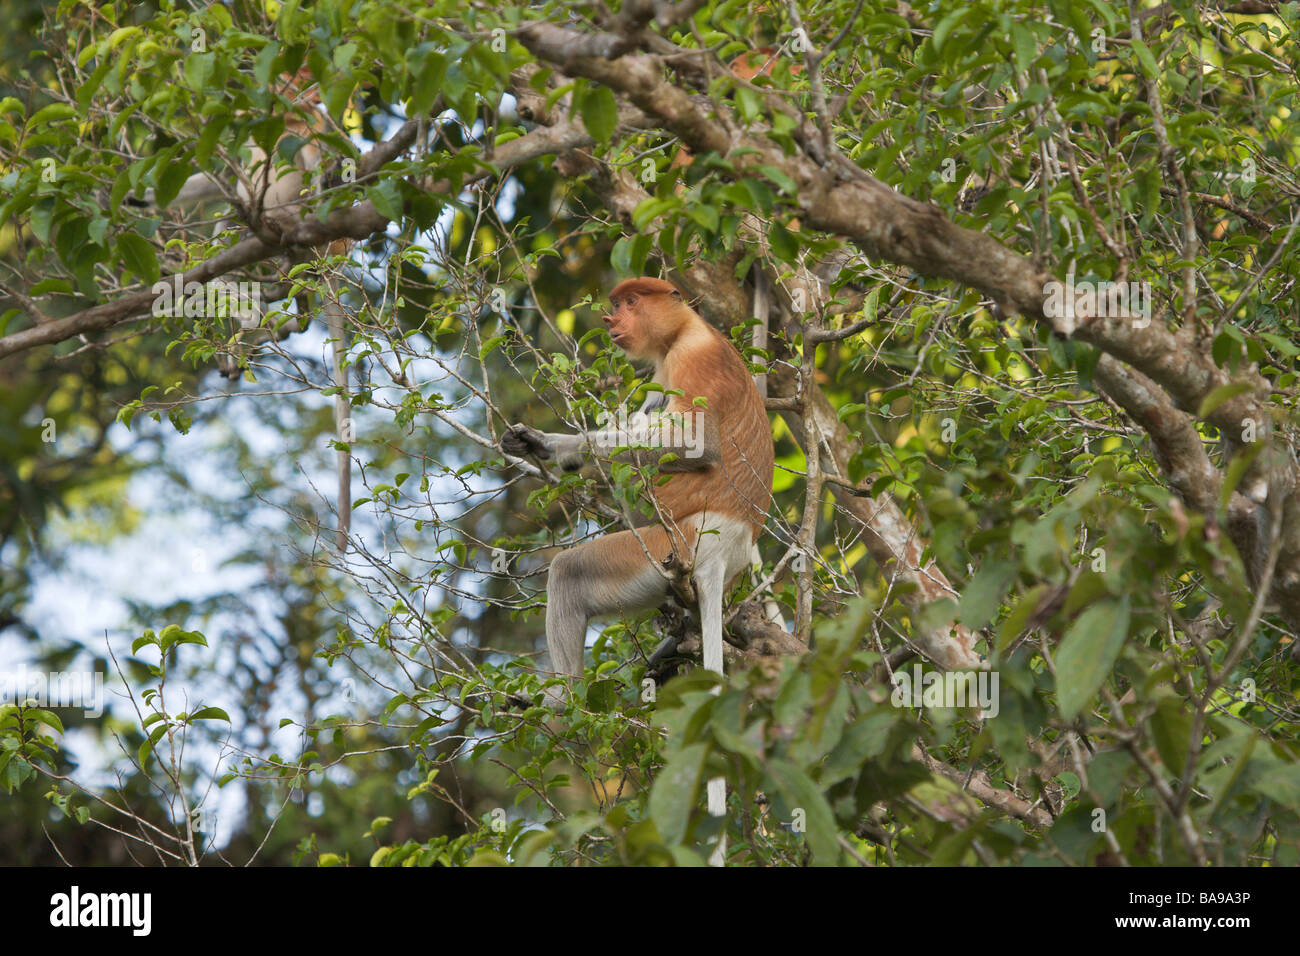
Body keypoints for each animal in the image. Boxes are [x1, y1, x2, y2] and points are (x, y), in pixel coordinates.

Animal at [496, 277, 769, 858]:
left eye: (630, 301)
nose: (609, 319)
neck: (685, 329)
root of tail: (729, 543)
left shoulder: (694, 358)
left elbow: (696, 440)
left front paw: (557, 444)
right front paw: (544, 448)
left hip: (665, 546)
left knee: (570, 574)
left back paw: (562, 700)